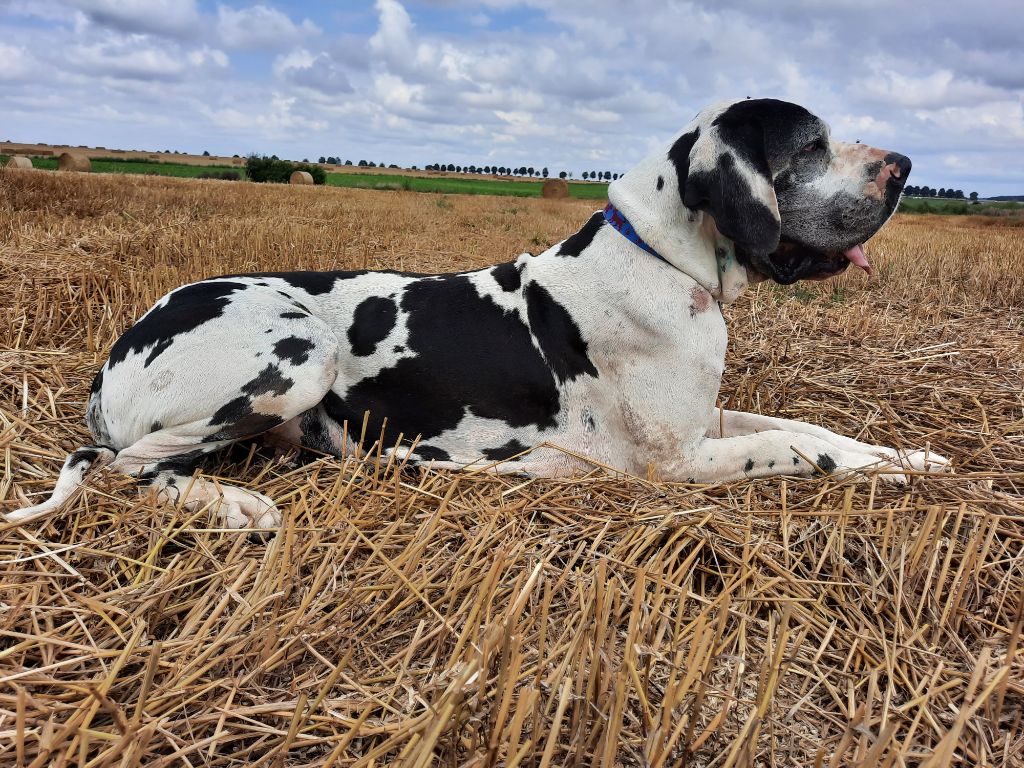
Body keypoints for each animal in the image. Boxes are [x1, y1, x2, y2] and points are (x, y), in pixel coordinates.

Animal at [12, 99, 946, 532]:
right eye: (811, 146)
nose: (904, 165)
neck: (661, 257)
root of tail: (112, 358)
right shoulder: (672, 462)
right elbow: (798, 448)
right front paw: (879, 471)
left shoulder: (705, 415)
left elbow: (808, 424)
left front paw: (912, 456)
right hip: (296, 350)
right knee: (122, 466)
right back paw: (236, 505)